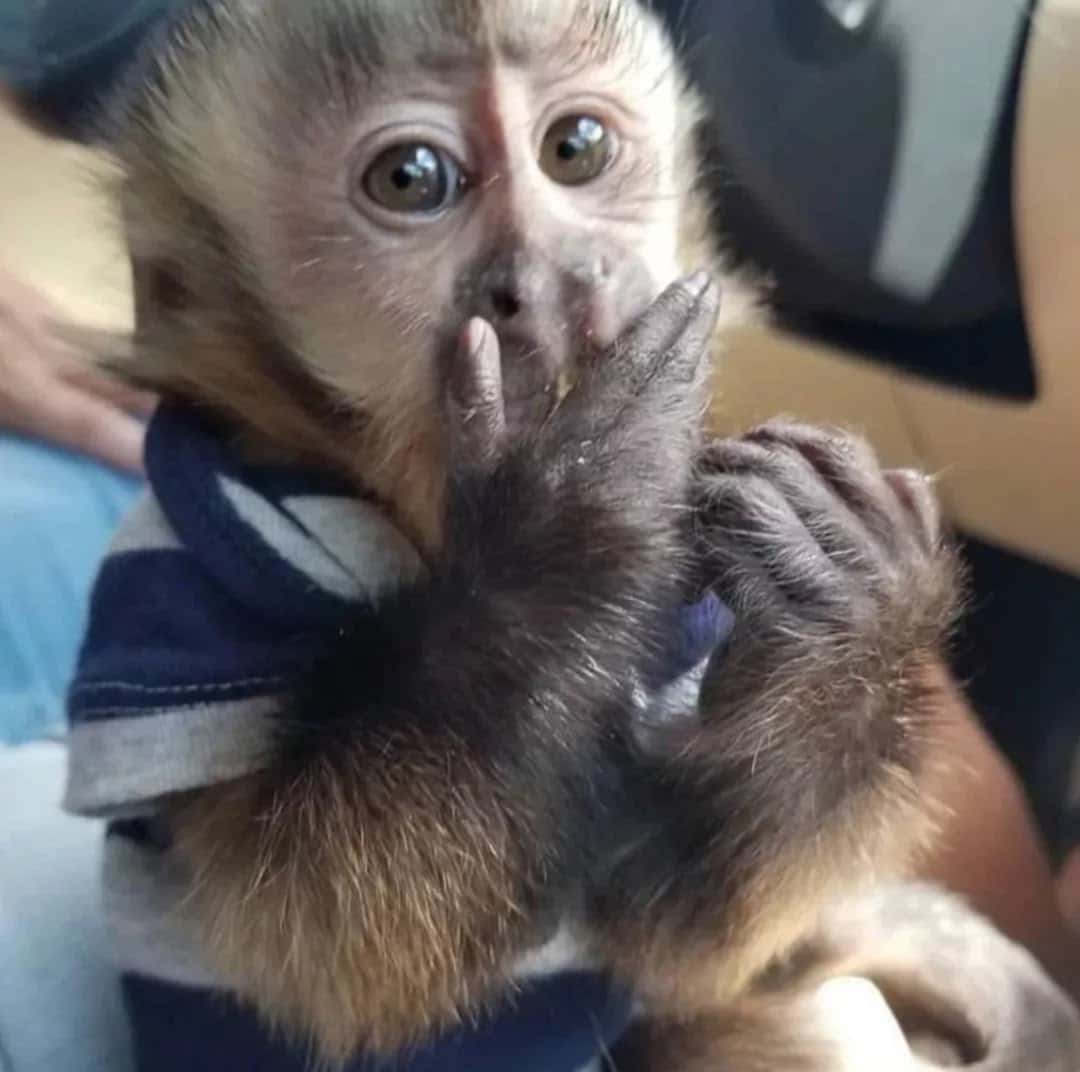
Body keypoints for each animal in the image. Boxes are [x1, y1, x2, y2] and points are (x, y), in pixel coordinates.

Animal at [58, 0, 1080, 1070]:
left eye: (576, 149)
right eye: (411, 178)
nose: (554, 278)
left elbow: (667, 927)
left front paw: (847, 599)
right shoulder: (181, 590)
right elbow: (321, 944)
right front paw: (568, 513)